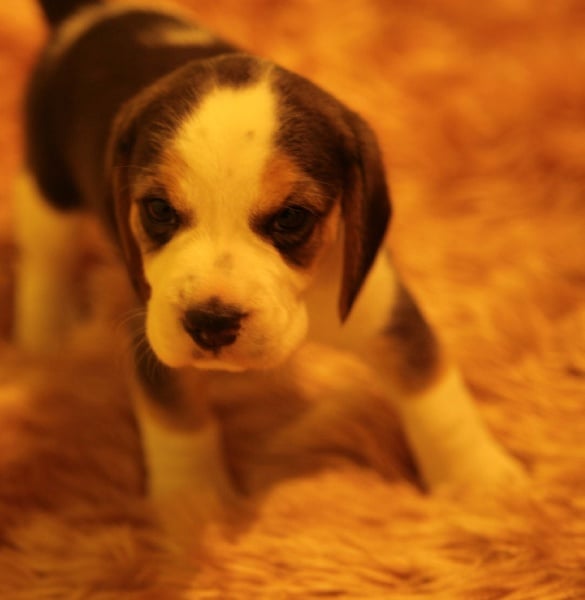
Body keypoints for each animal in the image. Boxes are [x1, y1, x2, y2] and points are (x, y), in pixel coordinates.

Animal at [14, 0, 524, 502]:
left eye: (291, 218)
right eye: (158, 210)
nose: (211, 322)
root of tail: (89, 12)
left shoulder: (386, 313)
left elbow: (435, 395)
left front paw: (482, 484)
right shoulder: (152, 330)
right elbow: (179, 428)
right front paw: (194, 511)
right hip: (49, 191)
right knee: (46, 261)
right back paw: (45, 339)